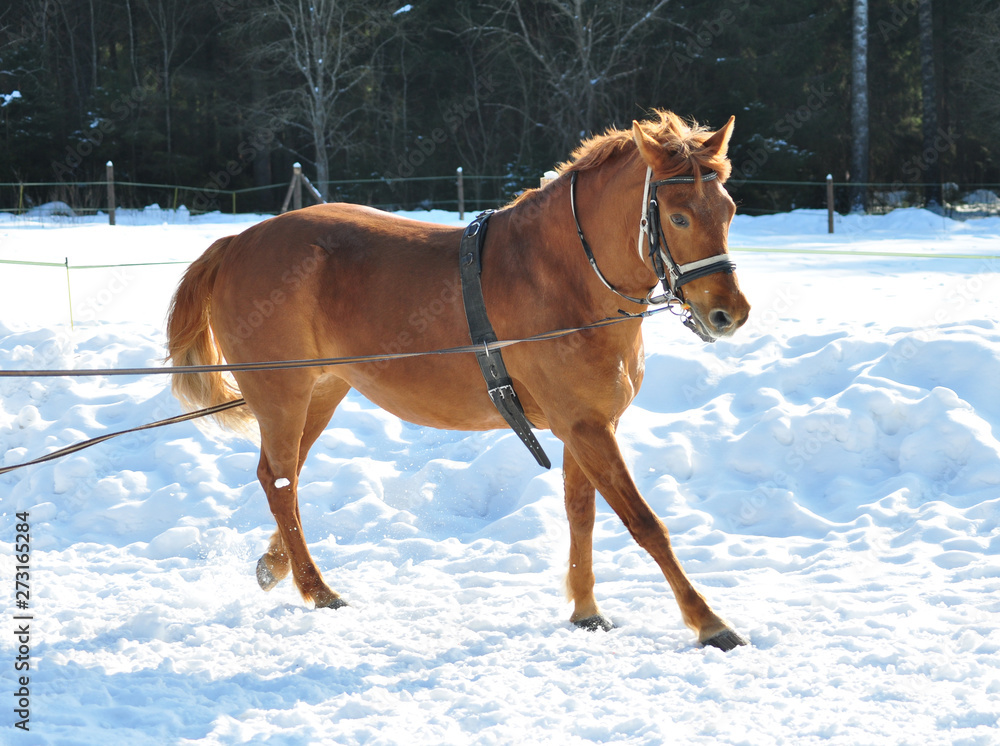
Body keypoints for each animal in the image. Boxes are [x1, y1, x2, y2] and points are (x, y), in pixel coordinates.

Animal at [166, 110, 751, 650]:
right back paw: (318, 589)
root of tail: (238, 242)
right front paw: (709, 622)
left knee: (282, 478)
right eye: (677, 217)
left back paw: (277, 565)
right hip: (282, 395)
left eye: (728, 210)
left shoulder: (584, 429)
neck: (565, 278)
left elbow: (580, 515)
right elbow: (645, 524)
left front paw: (586, 609)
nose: (730, 314)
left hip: (322, 392)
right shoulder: (586, 428)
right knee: (279, 481)